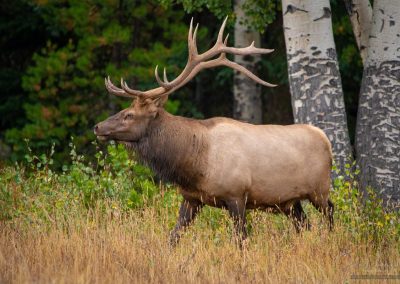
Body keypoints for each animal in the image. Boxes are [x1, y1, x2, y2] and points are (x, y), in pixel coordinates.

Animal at [94, 17, 334, 244]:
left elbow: (241, 240)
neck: (194, 164)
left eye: (129, 115)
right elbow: (174, 236)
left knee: (330, 211)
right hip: (289, 202)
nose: (97, 127)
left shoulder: (237, 195)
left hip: (320, 188)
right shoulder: (191, 198)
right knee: (305, 225)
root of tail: (325, 138)